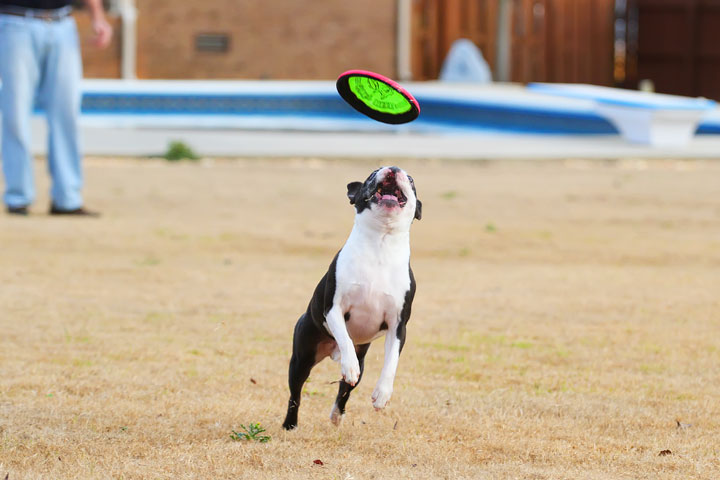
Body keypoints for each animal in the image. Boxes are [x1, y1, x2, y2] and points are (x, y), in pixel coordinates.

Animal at [282, 167, 422, 430]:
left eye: (410, 179)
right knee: (296, 393)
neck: (381, 243)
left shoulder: (398, 326)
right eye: (373, 174)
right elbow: (345, 339)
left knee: (346, 388)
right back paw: (290, 424)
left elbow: (391, 363)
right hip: (302, 357)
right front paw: (348, 365)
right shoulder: (333, 309)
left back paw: (337, 415)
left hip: (361, 358)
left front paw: (382, 395)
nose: (393, 169)